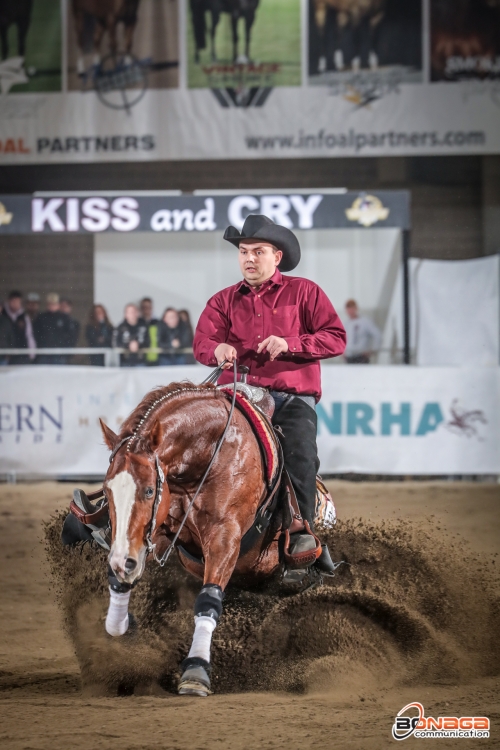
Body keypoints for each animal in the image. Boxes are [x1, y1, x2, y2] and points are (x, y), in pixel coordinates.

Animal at [99, 376, 292, 700]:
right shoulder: (159, 533)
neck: (211, 453)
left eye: (149, 490)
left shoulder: (225, 538)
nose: (122, 561)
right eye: (107, 490)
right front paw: (124, 624)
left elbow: (208, 599)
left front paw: (196, 670)